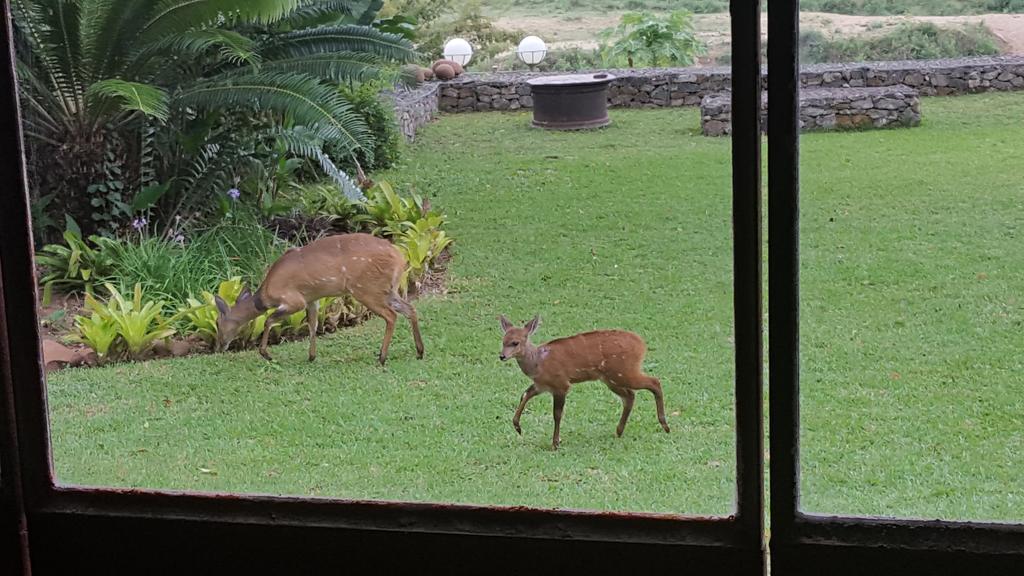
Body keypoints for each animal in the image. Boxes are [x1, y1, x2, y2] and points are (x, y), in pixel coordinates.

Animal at [216, 231, 423, 362]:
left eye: (218, 323)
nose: (219, 347)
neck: (267, 293)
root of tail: (400, 258)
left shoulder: (294, 301)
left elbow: (269, 320)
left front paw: (266, 354)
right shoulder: (311, 299)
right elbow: (313, 325)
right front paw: (311, 356)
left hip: (367, 289)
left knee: (391, 315)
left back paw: (382, 357)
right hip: (387, 289)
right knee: (410, 309)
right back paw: (420, 351)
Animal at [497, 313, 671, 448]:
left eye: (515, 342)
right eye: (503, 341)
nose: (502, 356)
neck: (537, 362)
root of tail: (641, 345)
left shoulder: (561, 385)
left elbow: (557, 414)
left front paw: (555, 443)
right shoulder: (541, 385)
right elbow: (524, 395)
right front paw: (517, 427)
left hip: (624, 372)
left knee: (654, 382)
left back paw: (665, 426)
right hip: (611, 379)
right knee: (630, 396)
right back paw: (619, 431)